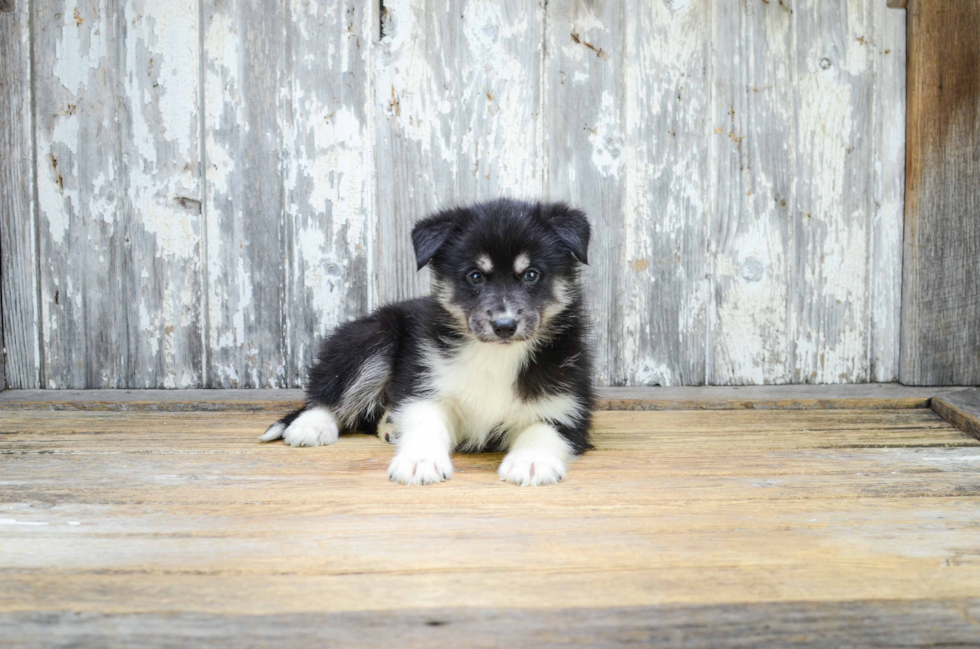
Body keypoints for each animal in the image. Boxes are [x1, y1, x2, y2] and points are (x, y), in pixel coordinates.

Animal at [260, 197, 592, 486]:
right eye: (474, 277)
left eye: (532, 275)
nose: (504, 326)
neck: (495, 356)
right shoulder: (425, 387)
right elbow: (425, 425)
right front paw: (420, 462)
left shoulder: (567, 405)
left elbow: (542, 431)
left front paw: (531, 463)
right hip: (372, 337)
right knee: (327, 393)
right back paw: (310, 426)